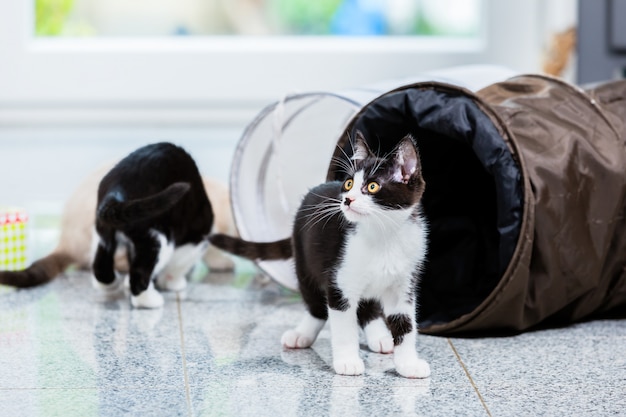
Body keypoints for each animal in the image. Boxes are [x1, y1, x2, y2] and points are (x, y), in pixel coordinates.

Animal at [90, 141, 212, 308]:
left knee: (101, 265)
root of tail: (117, 188)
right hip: (158, 238)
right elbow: (178, 264)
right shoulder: (194, 240)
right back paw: (149, 300)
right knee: (140, 273)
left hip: (103, 230)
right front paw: (174, 282)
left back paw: (110, 284)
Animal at [210, 131, 428, 376]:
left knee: (367, 306)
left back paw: (379, 337)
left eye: (372, 187)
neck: (384, 236)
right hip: (305, 263)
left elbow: (405, 324)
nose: (347, 199)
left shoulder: (405, 284)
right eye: (349, 183)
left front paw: (408, 364)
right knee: (316, 306)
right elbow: (343, 325)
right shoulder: (340, 279)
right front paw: (347, 361)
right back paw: (301, 334)